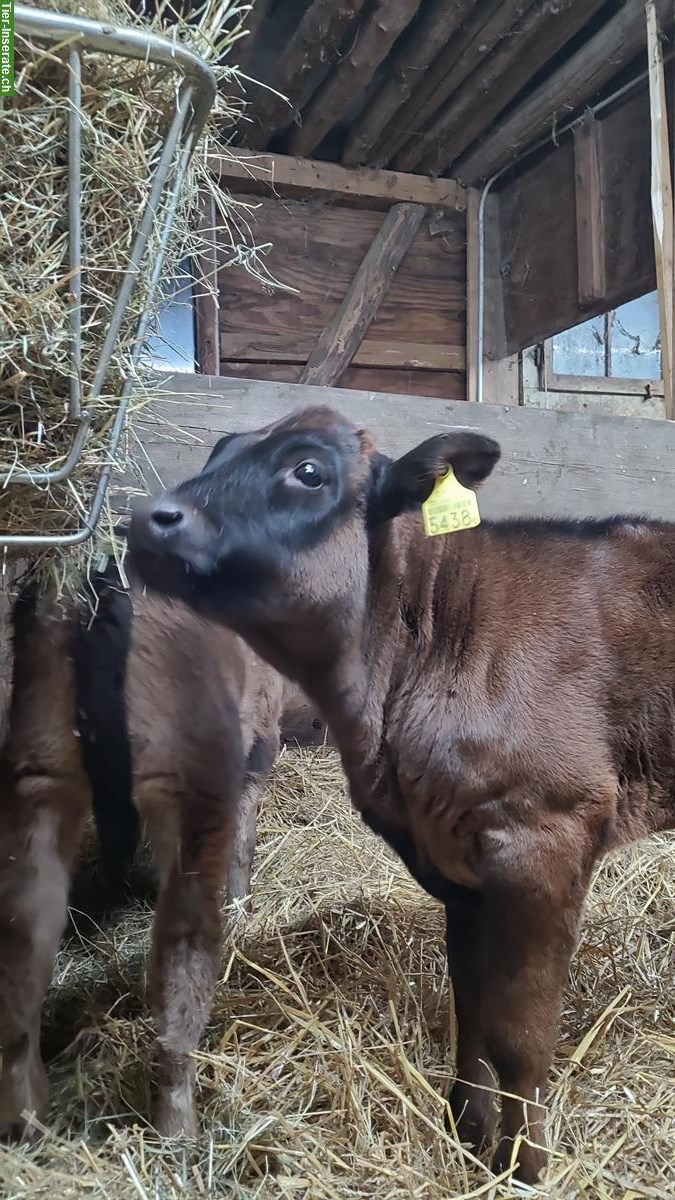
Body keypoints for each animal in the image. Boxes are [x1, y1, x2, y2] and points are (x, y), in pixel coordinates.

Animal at [0, 568, 282, 1142]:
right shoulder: (257, 745)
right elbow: (245, 839)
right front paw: (244, 907)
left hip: (39, 777)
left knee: (22, 950)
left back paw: (27, 1125)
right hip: (197, 787)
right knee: (184, 948)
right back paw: (179, 1129)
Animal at [127, 408, 675, 1185]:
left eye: (308, 471)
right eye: (218, 451)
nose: (149, 517)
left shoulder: (544, 833)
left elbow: (520, 1035)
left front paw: (524, 1170)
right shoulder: (457, 859)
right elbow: (471, 1007)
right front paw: (465, 1132)